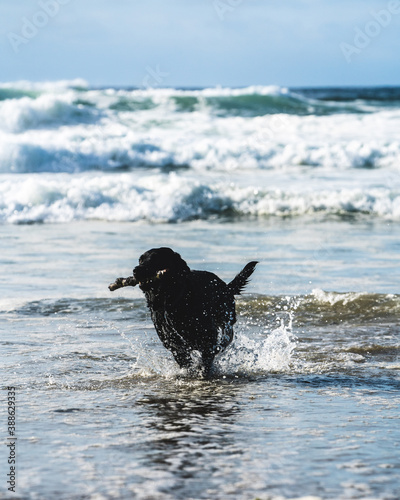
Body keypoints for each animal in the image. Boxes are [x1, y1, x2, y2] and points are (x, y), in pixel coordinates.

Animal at [108, 248, 256, 374]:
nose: (136, 270)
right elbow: (186, 362)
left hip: (226, 316)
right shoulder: (174, 345)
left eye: (156, 259)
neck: (170, 302)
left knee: (227, 334)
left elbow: (206, 361)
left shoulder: (207, 338)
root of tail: (226, 286)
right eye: (140, 260)